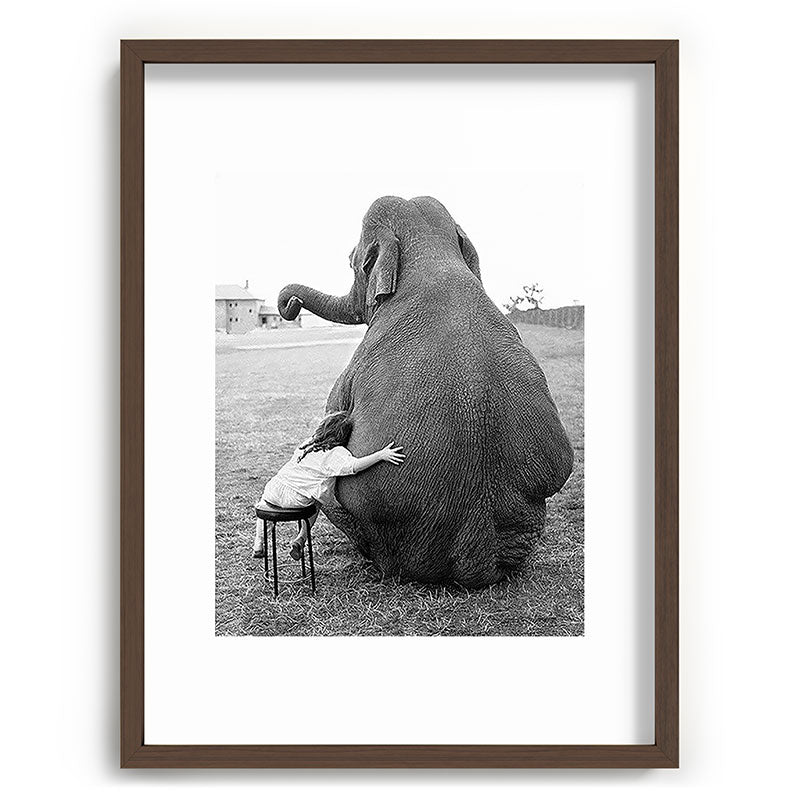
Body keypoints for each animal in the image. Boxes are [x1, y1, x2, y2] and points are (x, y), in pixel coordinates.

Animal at [278, 196, 573, 588]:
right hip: (527, 523)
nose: (290, 305)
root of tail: (476, 558)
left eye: (352, 259)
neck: (431, 254)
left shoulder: (352, 369)